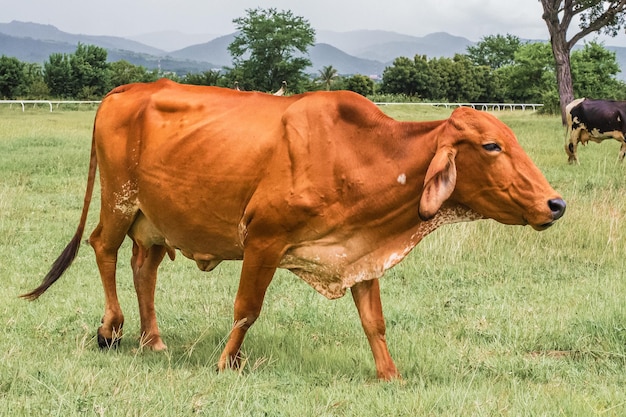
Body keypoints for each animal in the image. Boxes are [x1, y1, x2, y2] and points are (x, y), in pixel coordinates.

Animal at [22, 79, 564, 380]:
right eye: (492, 146)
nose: (555, 204)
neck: (360, 154)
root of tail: (129, 88)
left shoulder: (359, 251)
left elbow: (374, 321)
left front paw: (390, 375)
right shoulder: (263, 240)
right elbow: (246, 309)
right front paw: (226, 363)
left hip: (155, 221)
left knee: (143, 267)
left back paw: (151, 339)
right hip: (118, 201)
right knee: (102, 249)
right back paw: (111, 329)